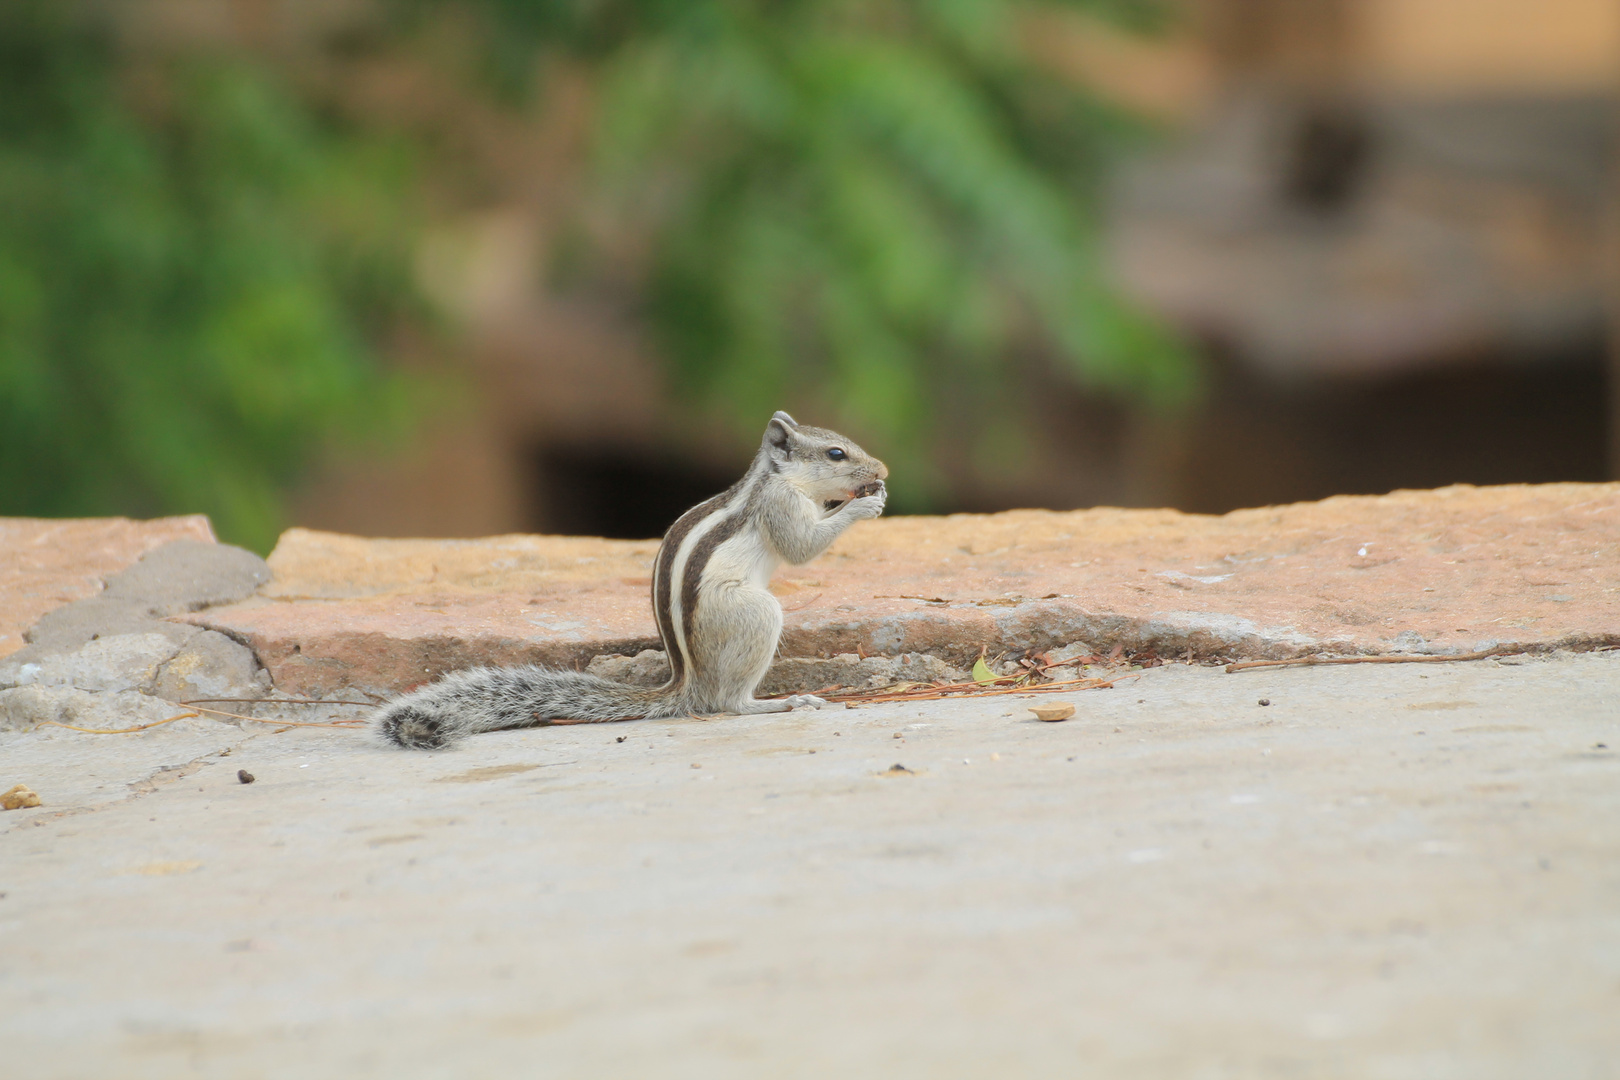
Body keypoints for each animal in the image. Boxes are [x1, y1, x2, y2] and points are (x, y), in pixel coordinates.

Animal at [374, 409, 894, 748]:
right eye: (836, 453)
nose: (883, 469)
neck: (776, 478)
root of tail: (688, 683)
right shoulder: (778, 506)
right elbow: (800, 547)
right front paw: (866, 504)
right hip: (754, 614)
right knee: (726, 702)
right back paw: (779, 703)